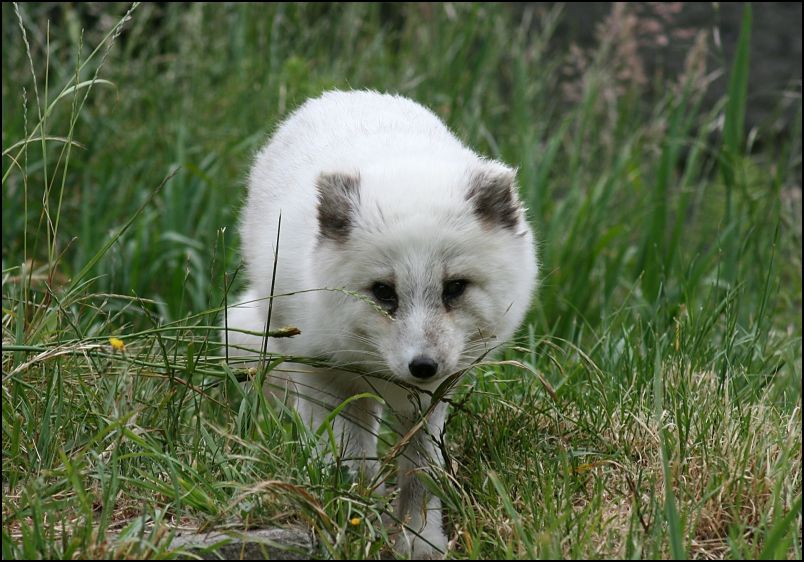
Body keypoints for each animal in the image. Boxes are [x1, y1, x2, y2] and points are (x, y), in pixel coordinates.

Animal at [226, 89, 536, 556]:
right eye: (384, 292)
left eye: (454, 288)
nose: (422, 366)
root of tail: (345, 93)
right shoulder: (325, 377)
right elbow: (351, 462)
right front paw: (356, 526)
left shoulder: (433, 400)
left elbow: (420, 474)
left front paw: (418, 539)